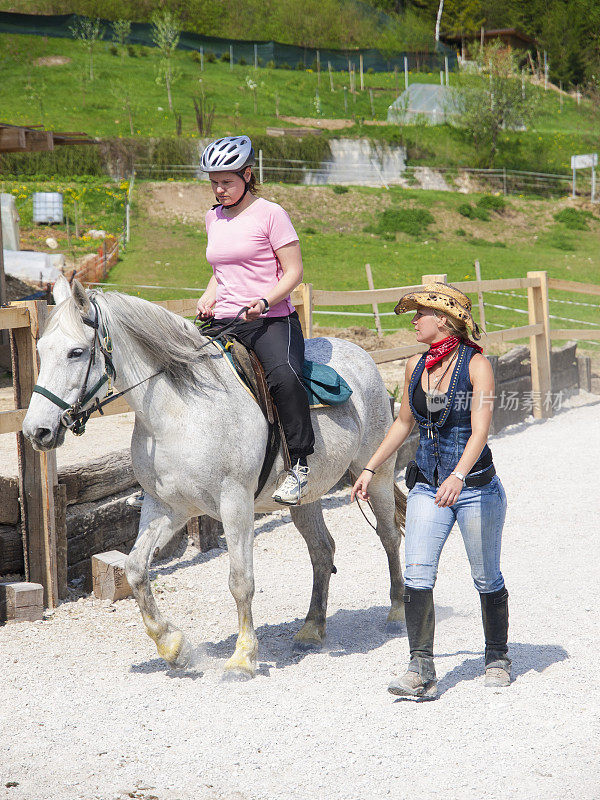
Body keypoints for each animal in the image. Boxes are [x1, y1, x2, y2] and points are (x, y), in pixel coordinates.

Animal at [25, 278, 406, 680]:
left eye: (76, 352)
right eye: (41, 350)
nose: (37, 431)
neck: (181, 412)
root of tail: (361, 356)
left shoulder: (234, 504)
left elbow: (240, 581)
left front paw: (242, 657)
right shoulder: (167, 508)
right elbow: (136, 570)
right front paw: (173, 647)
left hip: (377, 475)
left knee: (389, 536)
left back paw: (397, 613)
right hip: (307, 498)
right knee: (322, 550)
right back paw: (311, 630)